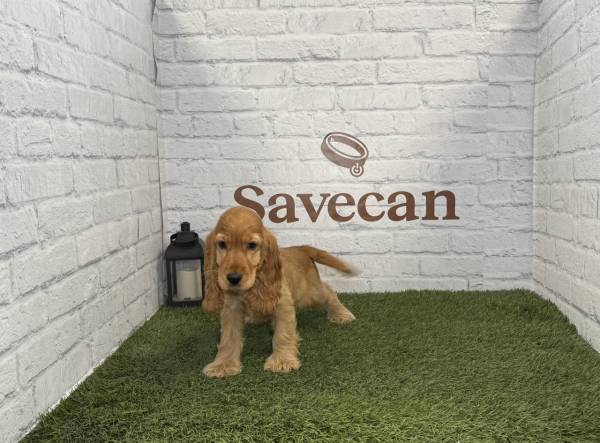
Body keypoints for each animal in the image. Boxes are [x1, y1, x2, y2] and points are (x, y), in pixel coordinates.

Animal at [201, 206, 356, 378]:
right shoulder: (231, 308)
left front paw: (282, 361)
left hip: (309, 294)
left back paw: (341, 314)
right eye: (222, 244)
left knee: (329, 291)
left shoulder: (282, 303)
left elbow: (283, 333)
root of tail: (301, 248)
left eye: (252, 245)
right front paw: (223, 365)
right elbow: (228, 338)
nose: (233, 278)